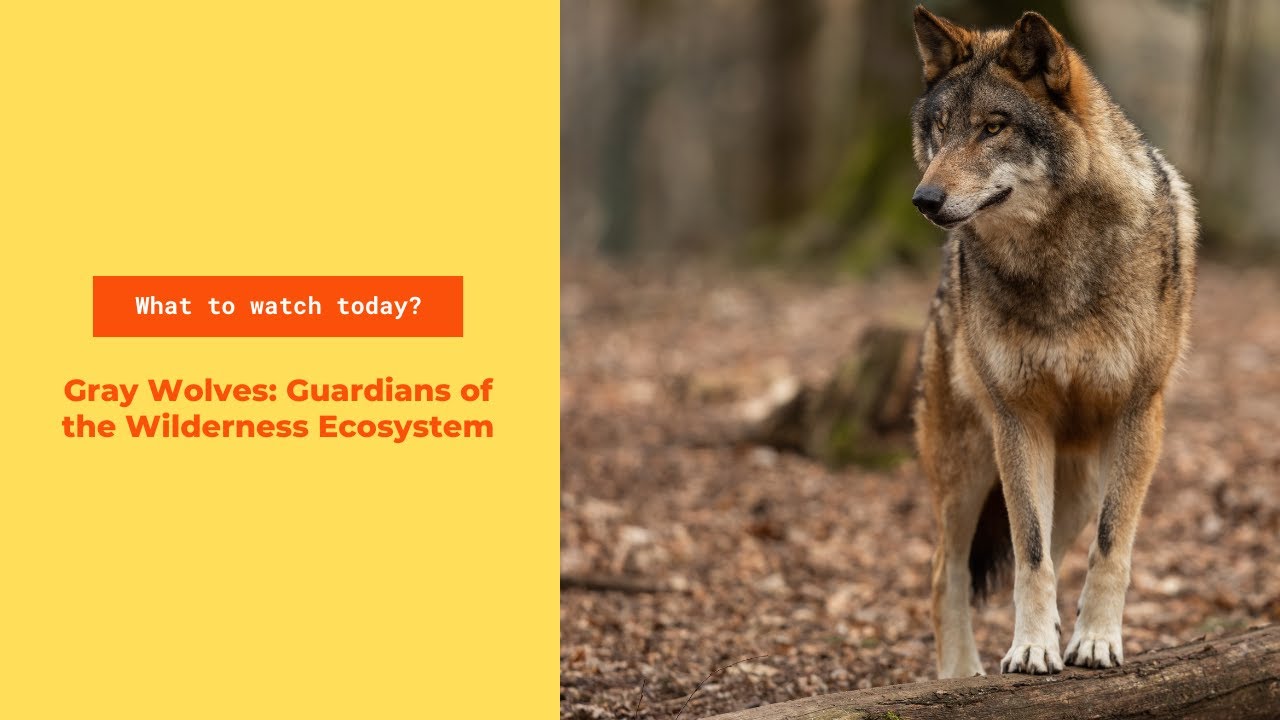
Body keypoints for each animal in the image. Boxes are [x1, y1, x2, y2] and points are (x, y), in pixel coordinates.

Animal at [908, 6, 1196, 677]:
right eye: (940, 129)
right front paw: (1032, 648)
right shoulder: (1019, 419)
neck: (1056, 263)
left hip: (1081, 484)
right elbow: (1030, 556)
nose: (924, 199)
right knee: (943, 573)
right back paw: (960, 676)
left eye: (993, 127)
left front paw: (1094, 642)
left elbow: (1110, 548)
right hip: (967, 465)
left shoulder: (1138, 416)